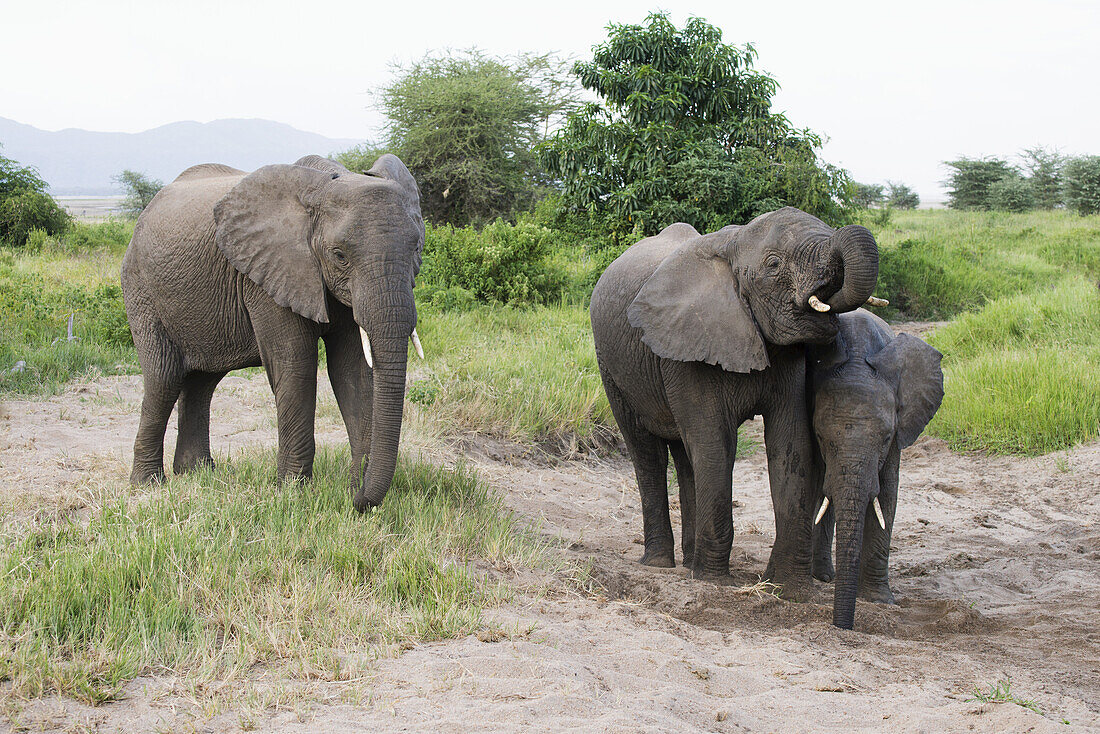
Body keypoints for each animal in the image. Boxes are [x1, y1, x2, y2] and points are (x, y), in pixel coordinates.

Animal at [121, 155, 424, 510]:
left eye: (416, 248)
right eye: (339, 256)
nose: (358, 500)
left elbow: (353, 372)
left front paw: (353, 489)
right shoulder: (264, 278)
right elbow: (295, 367)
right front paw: (293, 493)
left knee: (202, 381)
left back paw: (197, 474)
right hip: (141, 290)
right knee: (164, 378)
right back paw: (148, 485)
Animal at [589, 205, 880, 598]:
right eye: (773, 264)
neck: (734, 243)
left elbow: (790, 445)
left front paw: (788, 588)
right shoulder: (687, 345)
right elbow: (716, 445)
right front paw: (714, 580)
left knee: (685, 456)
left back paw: (690, 561)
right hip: (612, 364)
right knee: (647, 452)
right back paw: (660, 563)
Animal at [809, 308, 946, 629]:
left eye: (884, 438)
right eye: (820, 436)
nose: (842, 626)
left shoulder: (899, 429)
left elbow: (886, 496)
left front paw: (878, 600)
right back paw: (823, 576)